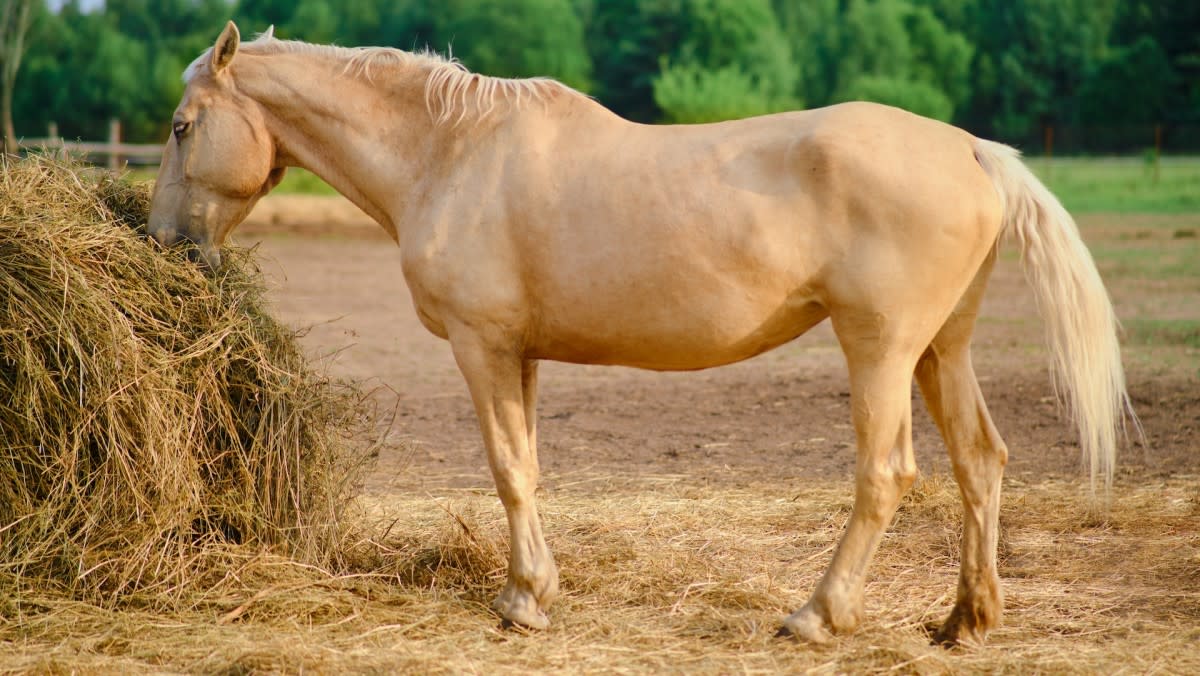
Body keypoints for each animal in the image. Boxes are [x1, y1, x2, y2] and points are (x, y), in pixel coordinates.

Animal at [150, 23, 1132, 643]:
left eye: (182, 126)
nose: (166, 244)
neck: (451, 152)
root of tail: (972, 150)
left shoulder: (479, 346)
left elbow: (507, 470)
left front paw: (522, 603)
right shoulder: (520, 354)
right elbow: (528, 467)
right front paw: (536, 586)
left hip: (882, 350)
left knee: (885, 476)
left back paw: (817, 616)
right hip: (939, 351)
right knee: (981, 464)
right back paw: (966, 619)